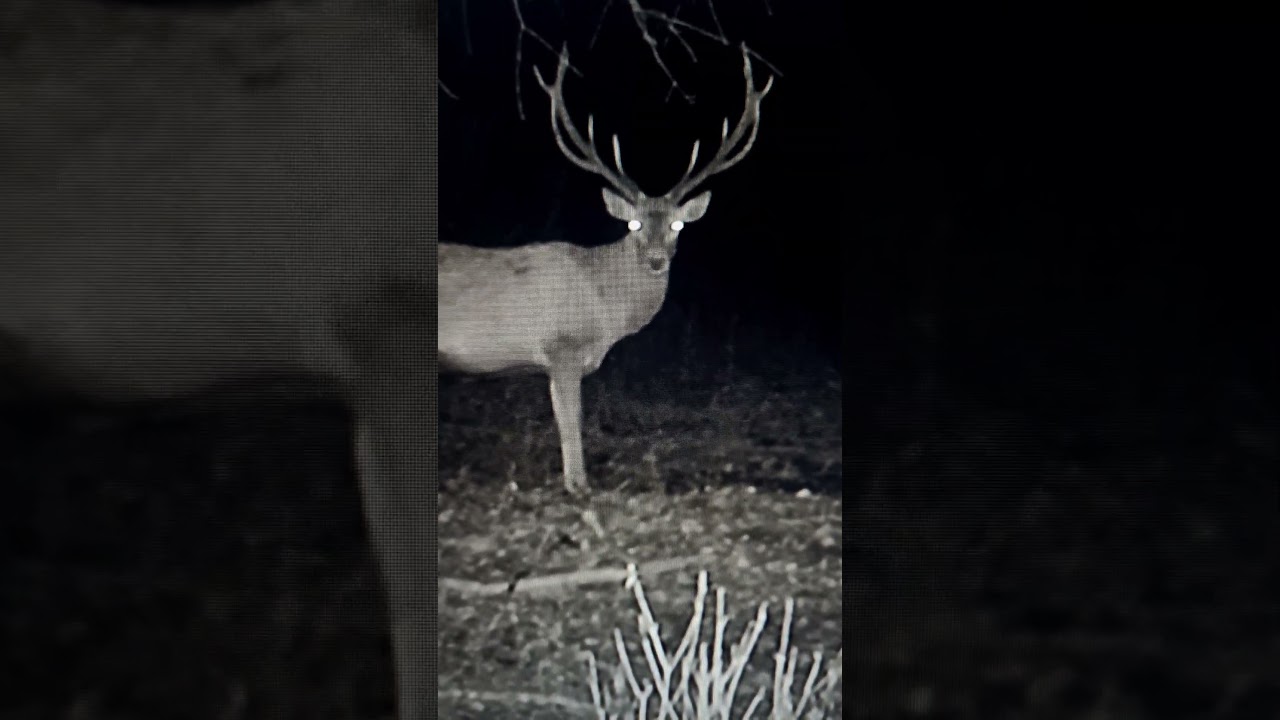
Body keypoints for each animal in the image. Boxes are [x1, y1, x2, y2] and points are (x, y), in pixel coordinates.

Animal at [438, 44, 773, 495]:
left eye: (677, 225)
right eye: (632, 225)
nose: (656, 260)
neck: (603, 309)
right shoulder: (561, 347)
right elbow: (570, 426)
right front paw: (577, 485)